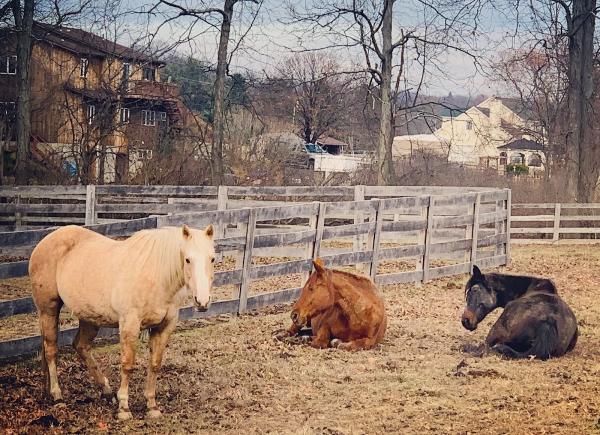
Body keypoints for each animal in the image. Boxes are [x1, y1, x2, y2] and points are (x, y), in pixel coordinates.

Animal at [29, 223, 216, 420]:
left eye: (212, 259)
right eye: (187, 260)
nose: (202, 301)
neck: (157, 276)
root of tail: (45, 242)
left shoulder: (164, 327)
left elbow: (155, 364)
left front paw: (152, 406)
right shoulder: (130, 325)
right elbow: (127, 365)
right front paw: (124, 408)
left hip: (89, 318)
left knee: (81, 346)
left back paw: (106, 391)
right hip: (48, 310)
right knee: (51, 351)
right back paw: (57, 396)